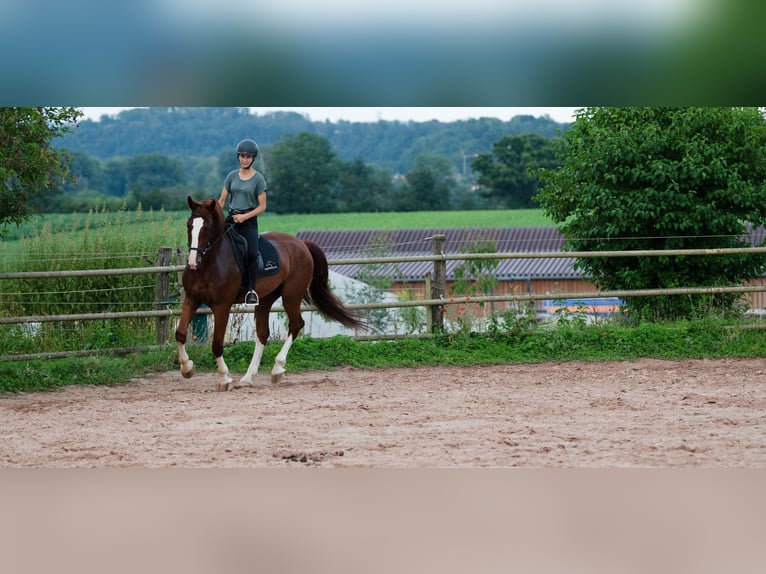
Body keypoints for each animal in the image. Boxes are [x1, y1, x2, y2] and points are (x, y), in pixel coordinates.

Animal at [176, 197, 366, 392]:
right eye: (189, 225)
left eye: (206, 227)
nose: (193, 262)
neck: (209, 264)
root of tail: (302, 244)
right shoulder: (192, 299)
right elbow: (180, 333)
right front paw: (187, 368)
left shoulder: (222, 306)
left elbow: (216, 344)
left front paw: (224, 379)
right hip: (265, 299)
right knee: (262, 333)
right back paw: (248, 377)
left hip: (291, 296)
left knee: (296, 325)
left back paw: (277, 369)